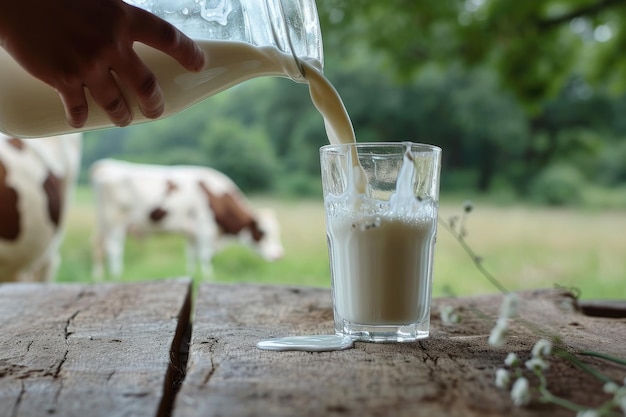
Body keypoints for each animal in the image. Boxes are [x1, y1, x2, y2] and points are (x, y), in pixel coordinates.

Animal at [89, 158, 284, 280]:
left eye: (278, 231)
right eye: (262, 232)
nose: (278, 255)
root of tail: (104, 167)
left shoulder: (192, 232)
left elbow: (192, 255)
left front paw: (192, 273)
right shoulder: (205, 227)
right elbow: (205, 256)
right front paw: (209, 276)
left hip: (103, 223)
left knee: (99, 247)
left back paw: (99, 276)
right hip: (115, 221)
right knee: (114, 249)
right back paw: (117, 275)